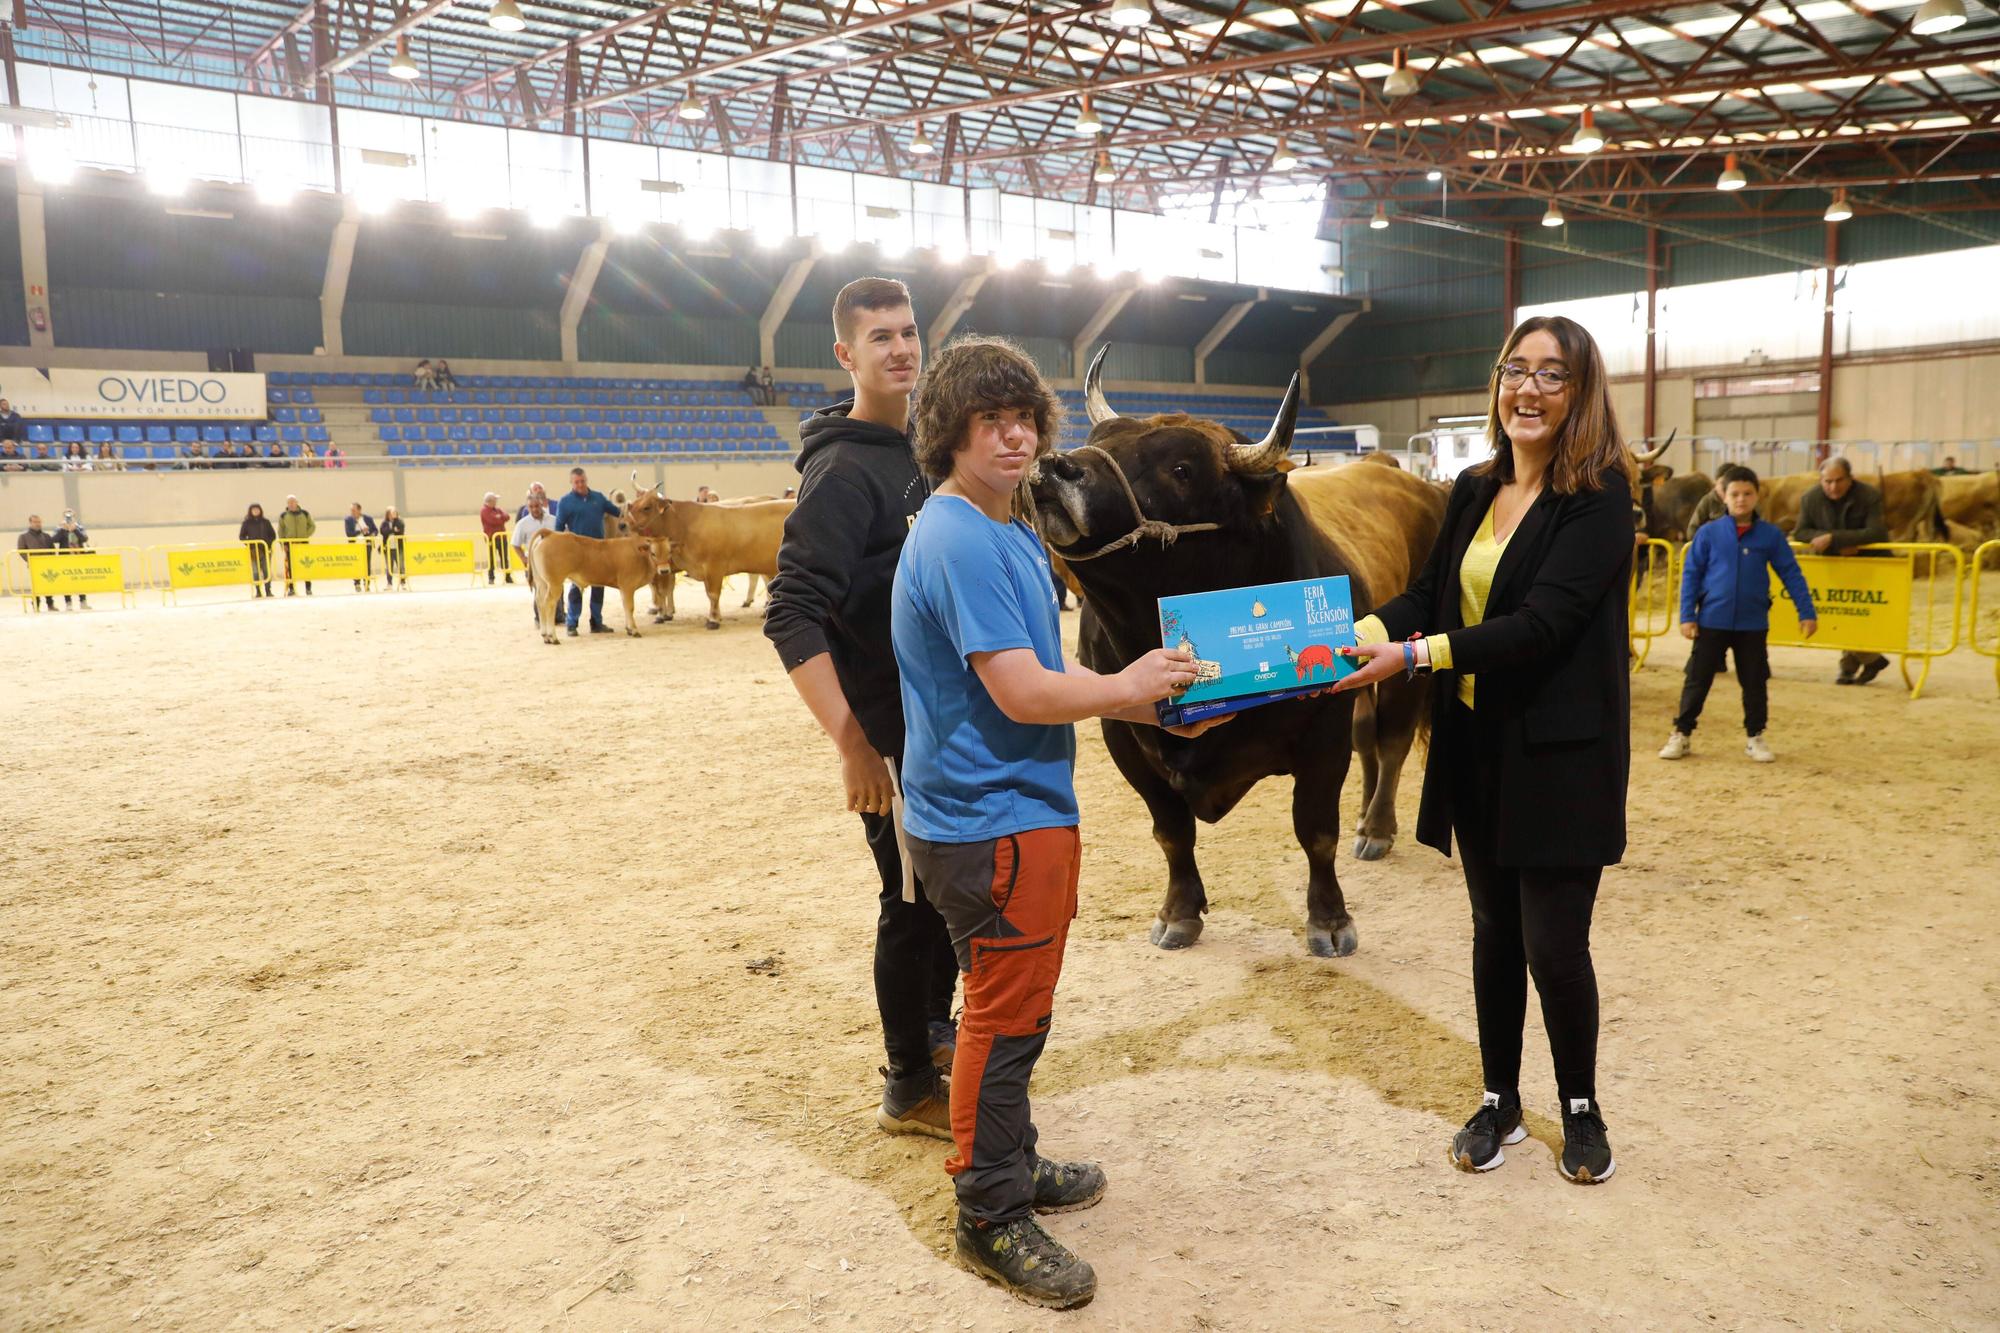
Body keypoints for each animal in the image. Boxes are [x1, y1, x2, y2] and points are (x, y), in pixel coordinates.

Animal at [524, 528, 664, 644]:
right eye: (653, 553)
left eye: (667, 553)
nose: (664, 571)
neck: (639, 554)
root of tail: (551, 533)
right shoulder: (628, 586)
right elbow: (630, 607)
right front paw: (634, 630)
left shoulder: (624, 589)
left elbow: (625, 606)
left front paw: (629, 629)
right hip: (554, 584)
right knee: (549, 604)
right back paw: (553, 637)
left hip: (541, 582)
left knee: (540, 602)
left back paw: (545, 636)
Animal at [620, 482, 792, 628]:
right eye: (632, 504)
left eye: (646, 507)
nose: (623, 525)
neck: (685, 526)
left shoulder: (714, 567)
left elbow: (713, 594)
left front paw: (713, 620)